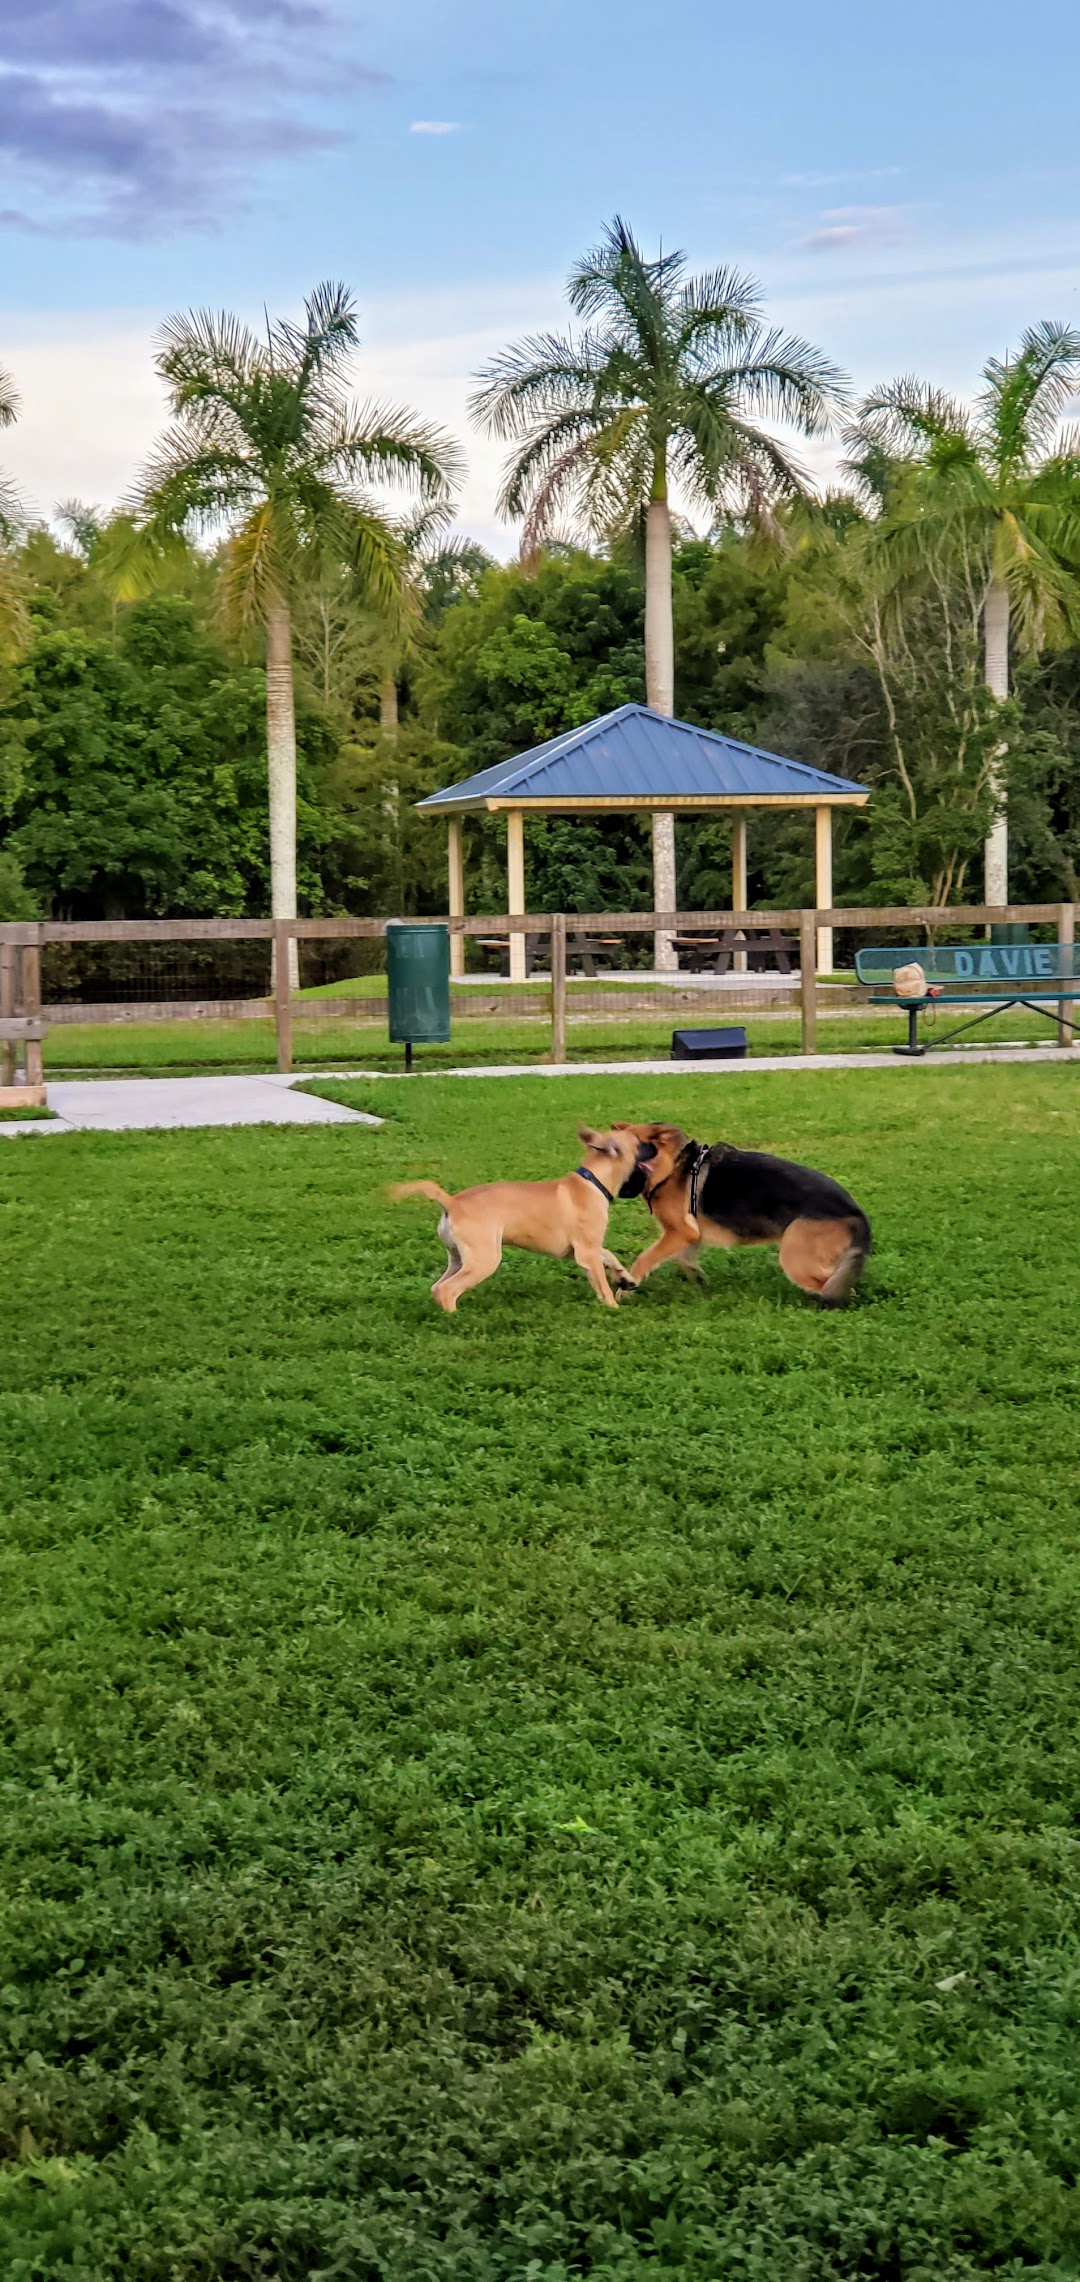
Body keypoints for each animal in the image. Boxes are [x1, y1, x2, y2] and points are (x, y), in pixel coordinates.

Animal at [390, 1127, 634, 1314]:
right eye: (638, 1141)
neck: (592, 1180)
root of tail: (452, 1202)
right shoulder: (586, 1252)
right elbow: (602, 1282)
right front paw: (613, 1307)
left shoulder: (582, 1249)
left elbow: (609, 1255)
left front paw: (625, 1277)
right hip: (484, 1259)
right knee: (448, 1289)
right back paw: (454, 1318)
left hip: (458, 1258)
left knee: (437, 1287)